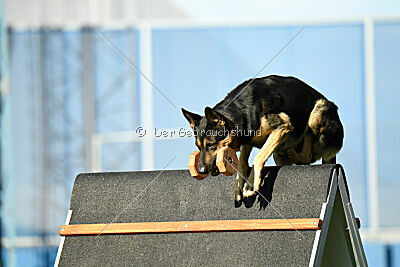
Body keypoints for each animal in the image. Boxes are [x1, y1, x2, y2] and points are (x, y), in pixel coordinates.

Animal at [183, 75, 342, 205]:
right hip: (279, 153)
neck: (241, 112)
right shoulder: (248, 139)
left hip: (318, 110)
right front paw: (239, 185)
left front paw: (250, 184)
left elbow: (258, 157)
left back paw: (291, 150)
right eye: (198, 147)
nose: (201, 170)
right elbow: (242, 162)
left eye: (211, 145)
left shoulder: (283, 125)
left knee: (305, 156)